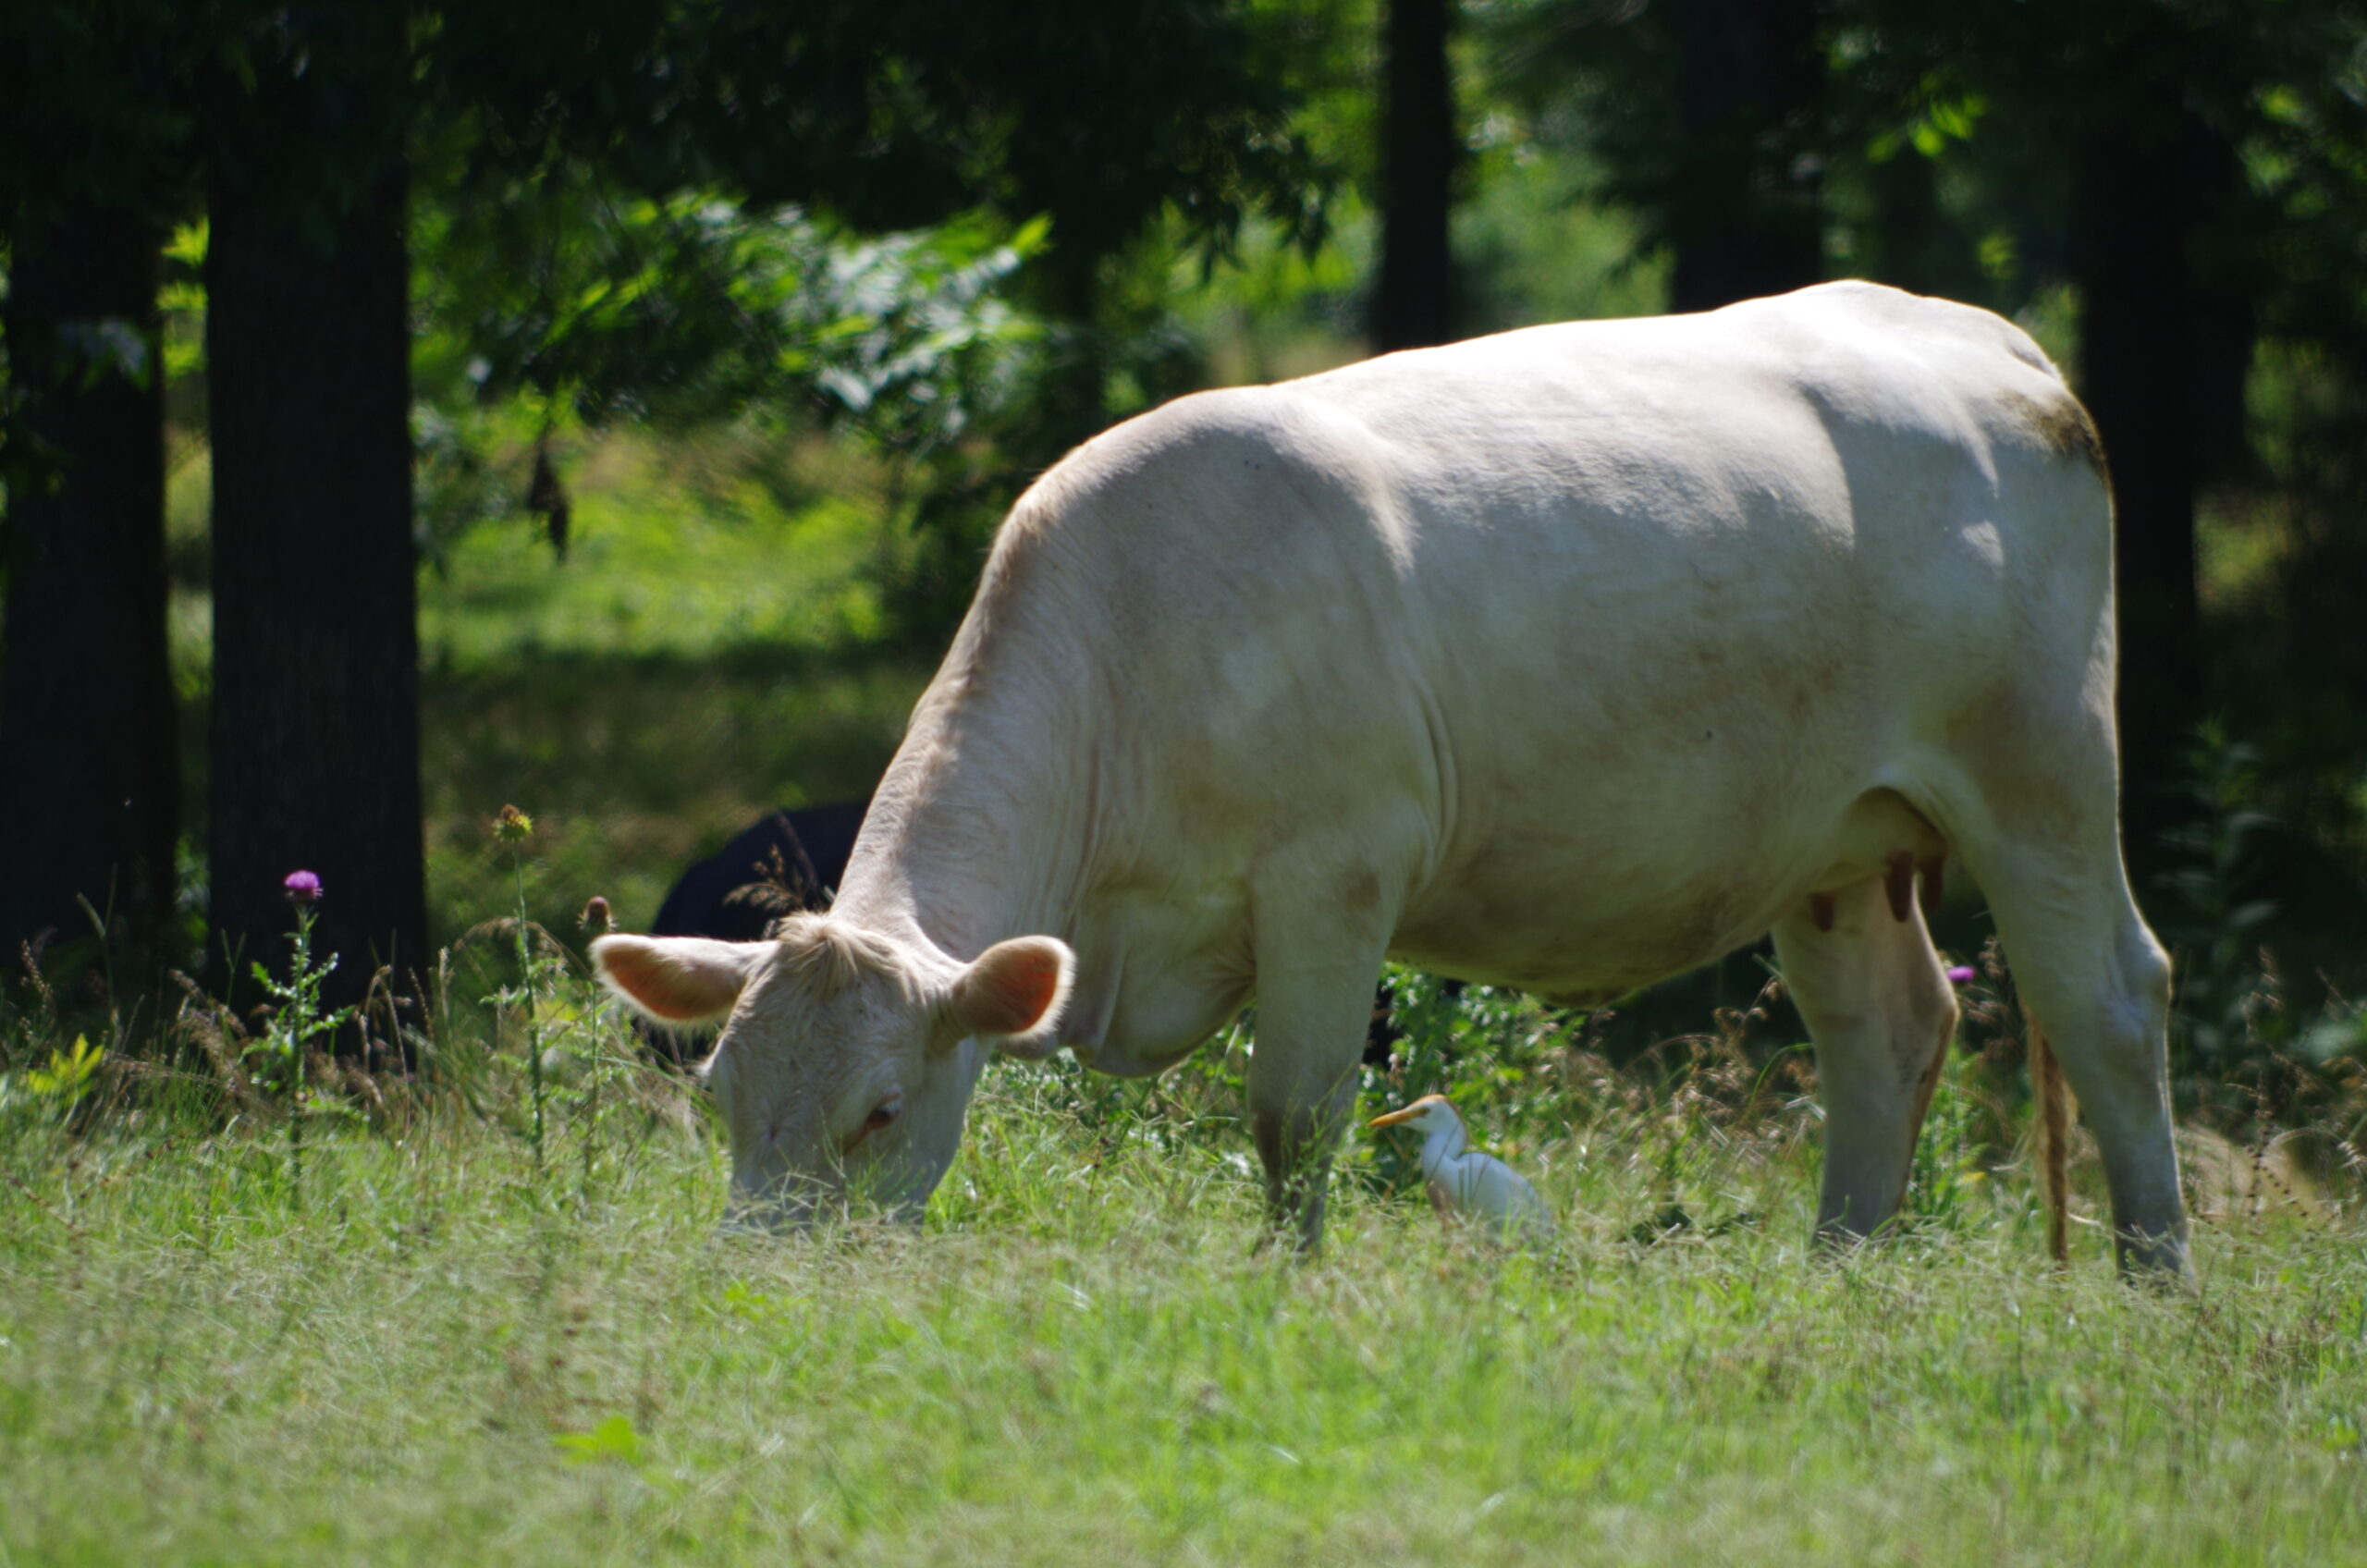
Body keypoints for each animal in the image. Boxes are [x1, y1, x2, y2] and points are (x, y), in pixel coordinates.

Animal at [601, 283, 2187, 1288]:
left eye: (879, 1112)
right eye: (724, 1092)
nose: (758, 1280)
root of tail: (1983, 336)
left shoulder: (1333, 879)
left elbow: (1292, 1116)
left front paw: (1287, 1288)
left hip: (2042, 765)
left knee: (2110, 999)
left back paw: (2152, 1277)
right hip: (1835, 844)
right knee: (1886, 1032)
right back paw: (1841, 1271)